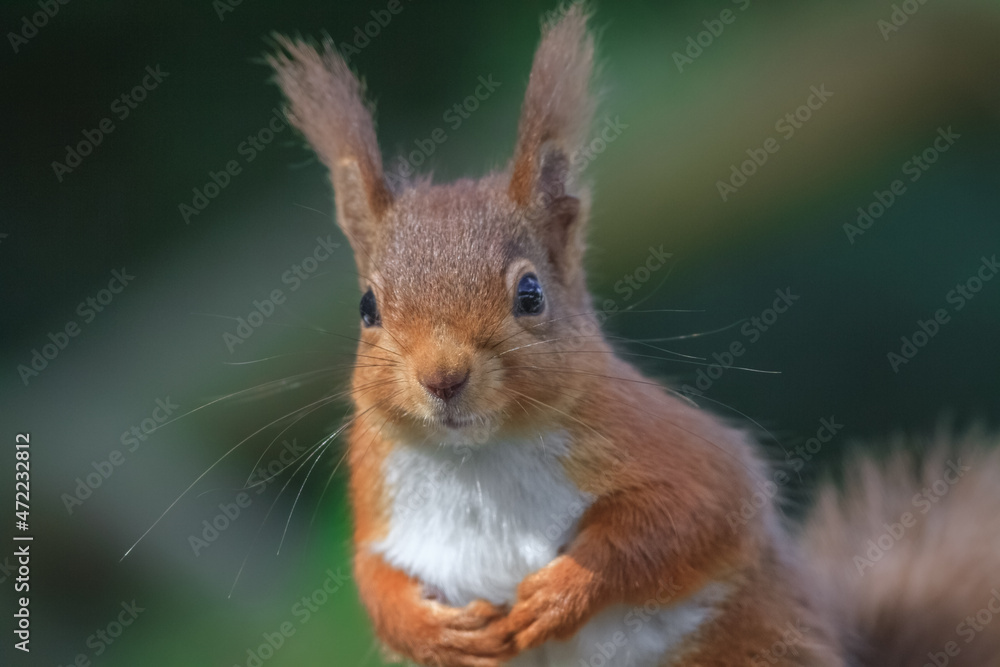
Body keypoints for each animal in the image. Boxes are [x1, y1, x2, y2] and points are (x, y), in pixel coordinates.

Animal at [268, 5, 1000, 666]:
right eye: (367, 308)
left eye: (530, 294)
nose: (442, 377)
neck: (480, 458)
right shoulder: (378, 492)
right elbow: (373, 582)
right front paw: (430, 631)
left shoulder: (667, 445)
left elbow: (690, 516)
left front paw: (561, 592)